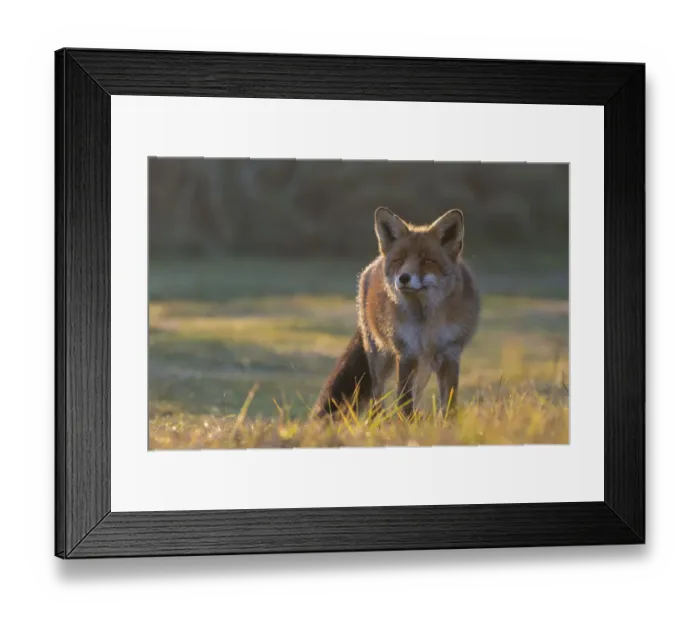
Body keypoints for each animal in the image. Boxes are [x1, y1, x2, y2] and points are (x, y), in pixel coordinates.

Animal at [312, 207, 480, 418]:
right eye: (399, 260)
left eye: (427, 260)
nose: (404, 278)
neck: (425, 323)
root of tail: (374, 262)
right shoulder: (406, 353)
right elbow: (404, 401)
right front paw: (406, 424)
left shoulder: (450, 353)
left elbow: (448, 403)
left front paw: (446, 423)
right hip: (380, 357)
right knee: (377, 396)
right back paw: (376, 421)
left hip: (423, 366)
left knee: (415, 393)